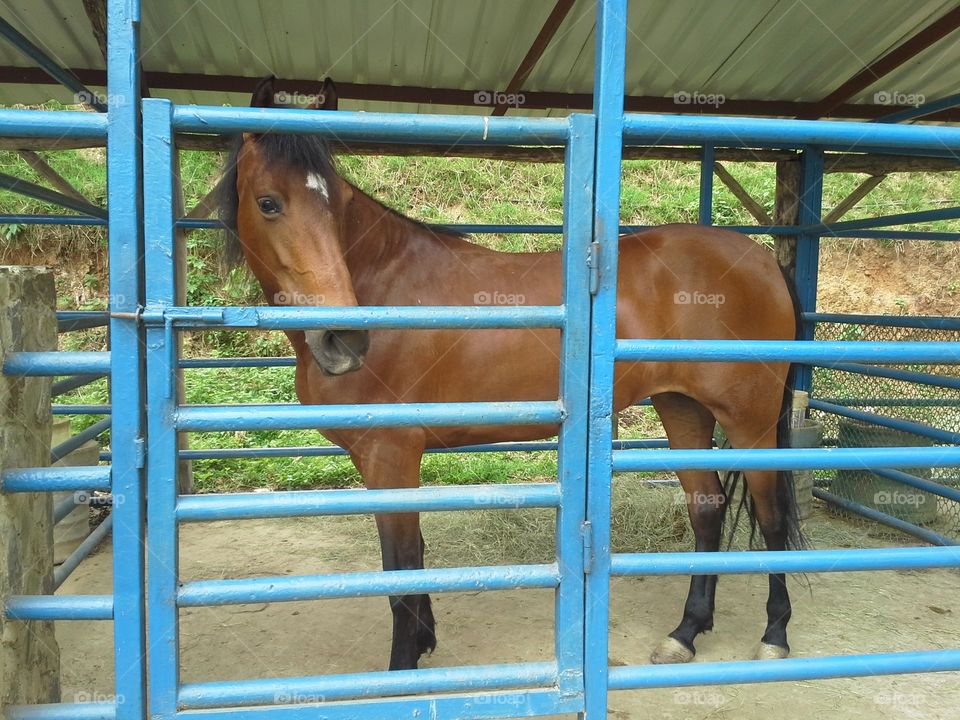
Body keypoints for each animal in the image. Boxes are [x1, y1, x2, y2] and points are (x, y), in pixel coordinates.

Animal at [223, 77, 804, 668]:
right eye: (268, 202)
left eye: (336, 204)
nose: (344, 339)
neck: (385, 286)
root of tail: (763, 260)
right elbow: (415, 559)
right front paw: (425, 640)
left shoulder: (390, 457)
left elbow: (401, 568)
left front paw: (403, 665)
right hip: (682, 408)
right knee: (706, 509)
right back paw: (685, 631)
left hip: (749, 421)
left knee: (771, 515)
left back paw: (774, 633)